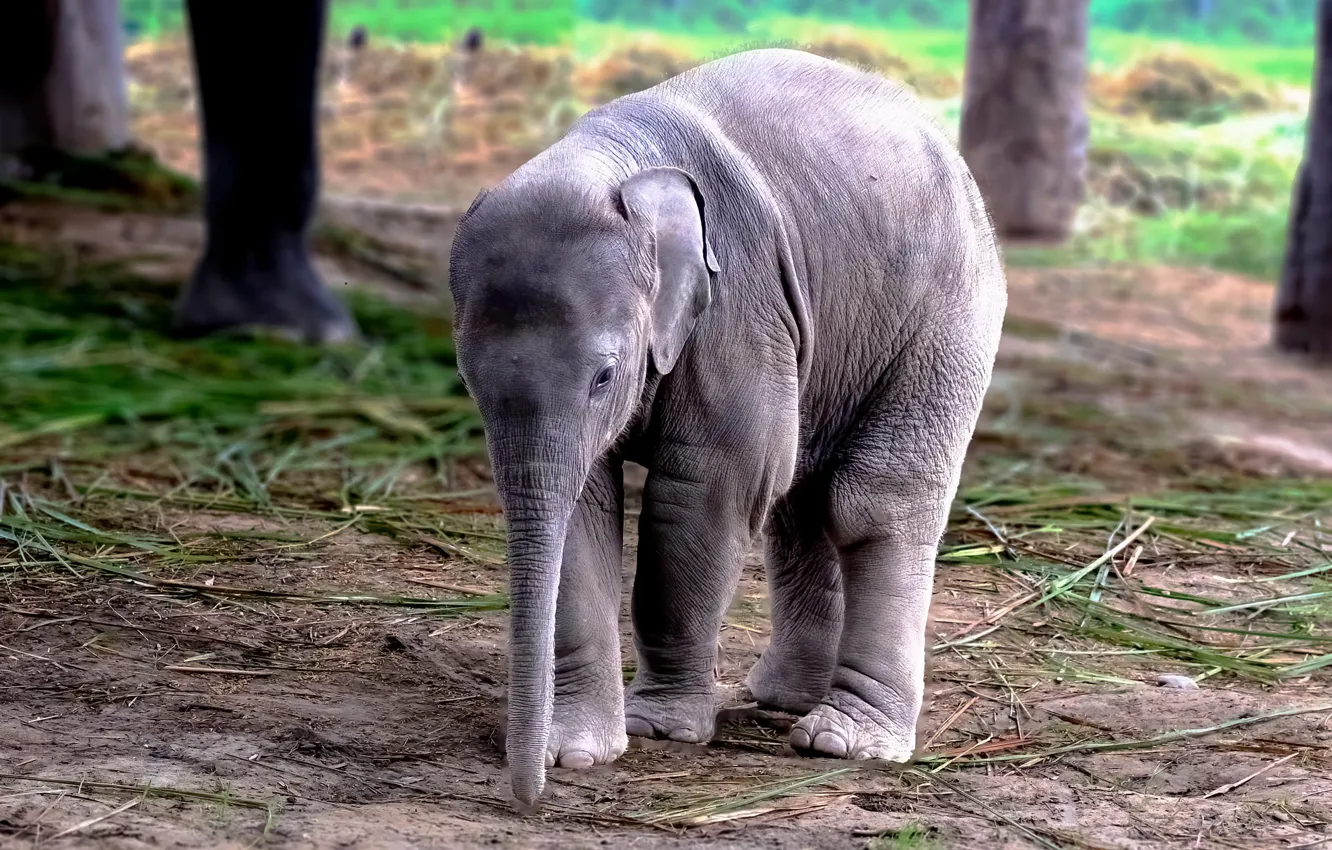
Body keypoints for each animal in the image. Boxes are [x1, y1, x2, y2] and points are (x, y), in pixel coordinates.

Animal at [447, 48, 1007, 807]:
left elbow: (706, 491)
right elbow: (586, 511)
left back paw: (842, 740)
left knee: (873, 501)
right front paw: (578, 751)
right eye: (466, 376)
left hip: (949, 319)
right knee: (802, 500)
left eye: (604, 376)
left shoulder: (739, 305)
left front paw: (659, 730)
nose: (528, 798)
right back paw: (783, 698)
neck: (614, 164)